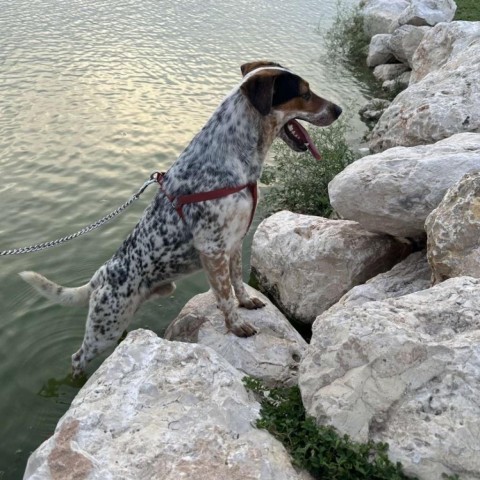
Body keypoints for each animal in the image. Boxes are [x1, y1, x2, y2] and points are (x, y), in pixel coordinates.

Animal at [19, 61, 342, 376]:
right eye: (305, 93)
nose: (339, 109)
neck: (231, 158)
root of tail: (100, 277)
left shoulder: (235, 242)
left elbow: (237, 282)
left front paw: (246, 302)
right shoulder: (212, 250)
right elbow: (225, 296)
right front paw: (236, 326)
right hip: (105, 328)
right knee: (77, 358)